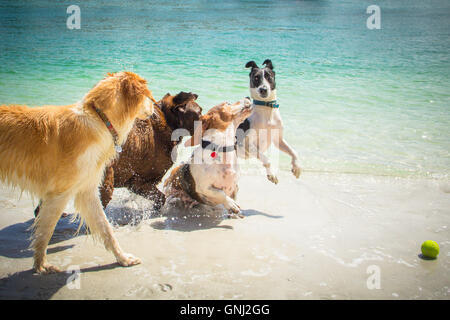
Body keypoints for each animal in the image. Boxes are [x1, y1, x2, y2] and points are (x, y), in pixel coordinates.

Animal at [0, 71, 155, 274]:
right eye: (148, 96)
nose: (155, 106)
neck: (99, 119)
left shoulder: (87, 190)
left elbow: (106, 228)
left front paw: (123, 258)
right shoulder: (59, 194)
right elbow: (45, 232)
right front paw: (41, 265)